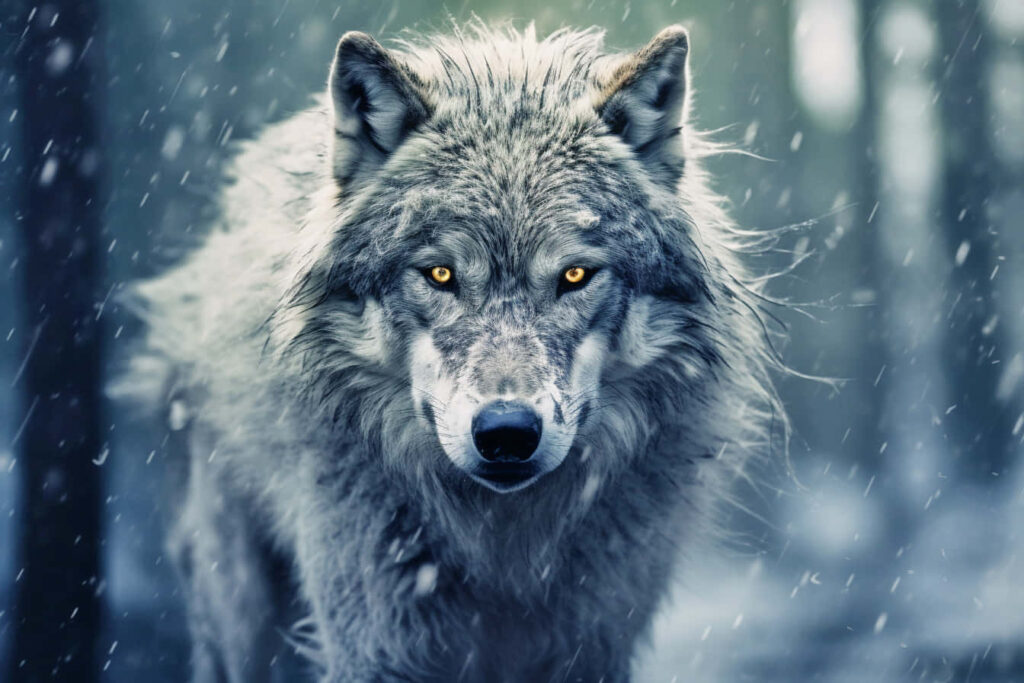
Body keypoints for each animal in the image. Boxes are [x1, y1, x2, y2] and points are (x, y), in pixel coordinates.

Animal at [124, 21, 783, 683]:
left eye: (575, 275)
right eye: (440, 274)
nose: (507, 433)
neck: (503, 548)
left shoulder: (592, 642)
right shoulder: (374, 641)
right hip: (242, 620)